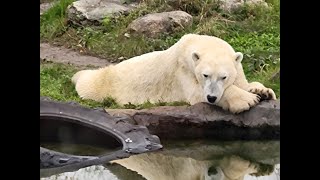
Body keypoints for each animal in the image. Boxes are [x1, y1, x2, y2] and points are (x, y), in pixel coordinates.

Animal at [72, 33, 276, 112]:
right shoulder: (183, 70)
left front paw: (262, 91)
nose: (211, 97)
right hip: (106, 82)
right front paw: (247, 100)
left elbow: (244, 83)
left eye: (223, 77)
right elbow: (196, 93)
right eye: (205, 75)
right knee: (89, 81)